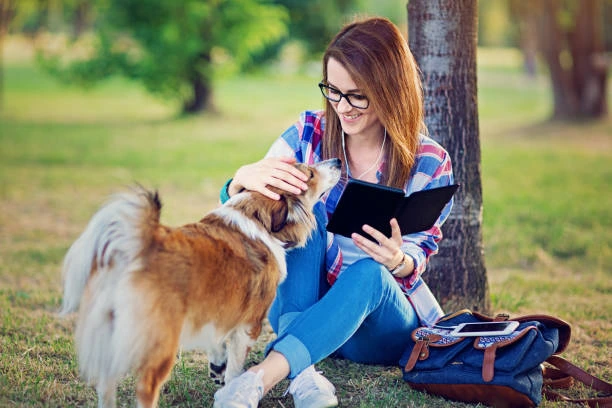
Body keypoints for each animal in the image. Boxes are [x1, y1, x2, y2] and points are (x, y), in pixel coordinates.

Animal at [59, 159, 342, 408]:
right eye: (310, 174)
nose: (338, 161)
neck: (255, 218)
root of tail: (138, 246)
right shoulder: (249, 325)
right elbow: (236, 367)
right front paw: (233, 389)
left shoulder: (216, 309)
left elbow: (216, 341)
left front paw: (218, 367)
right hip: (161, 343)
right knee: (146, 388)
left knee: (105, 385)